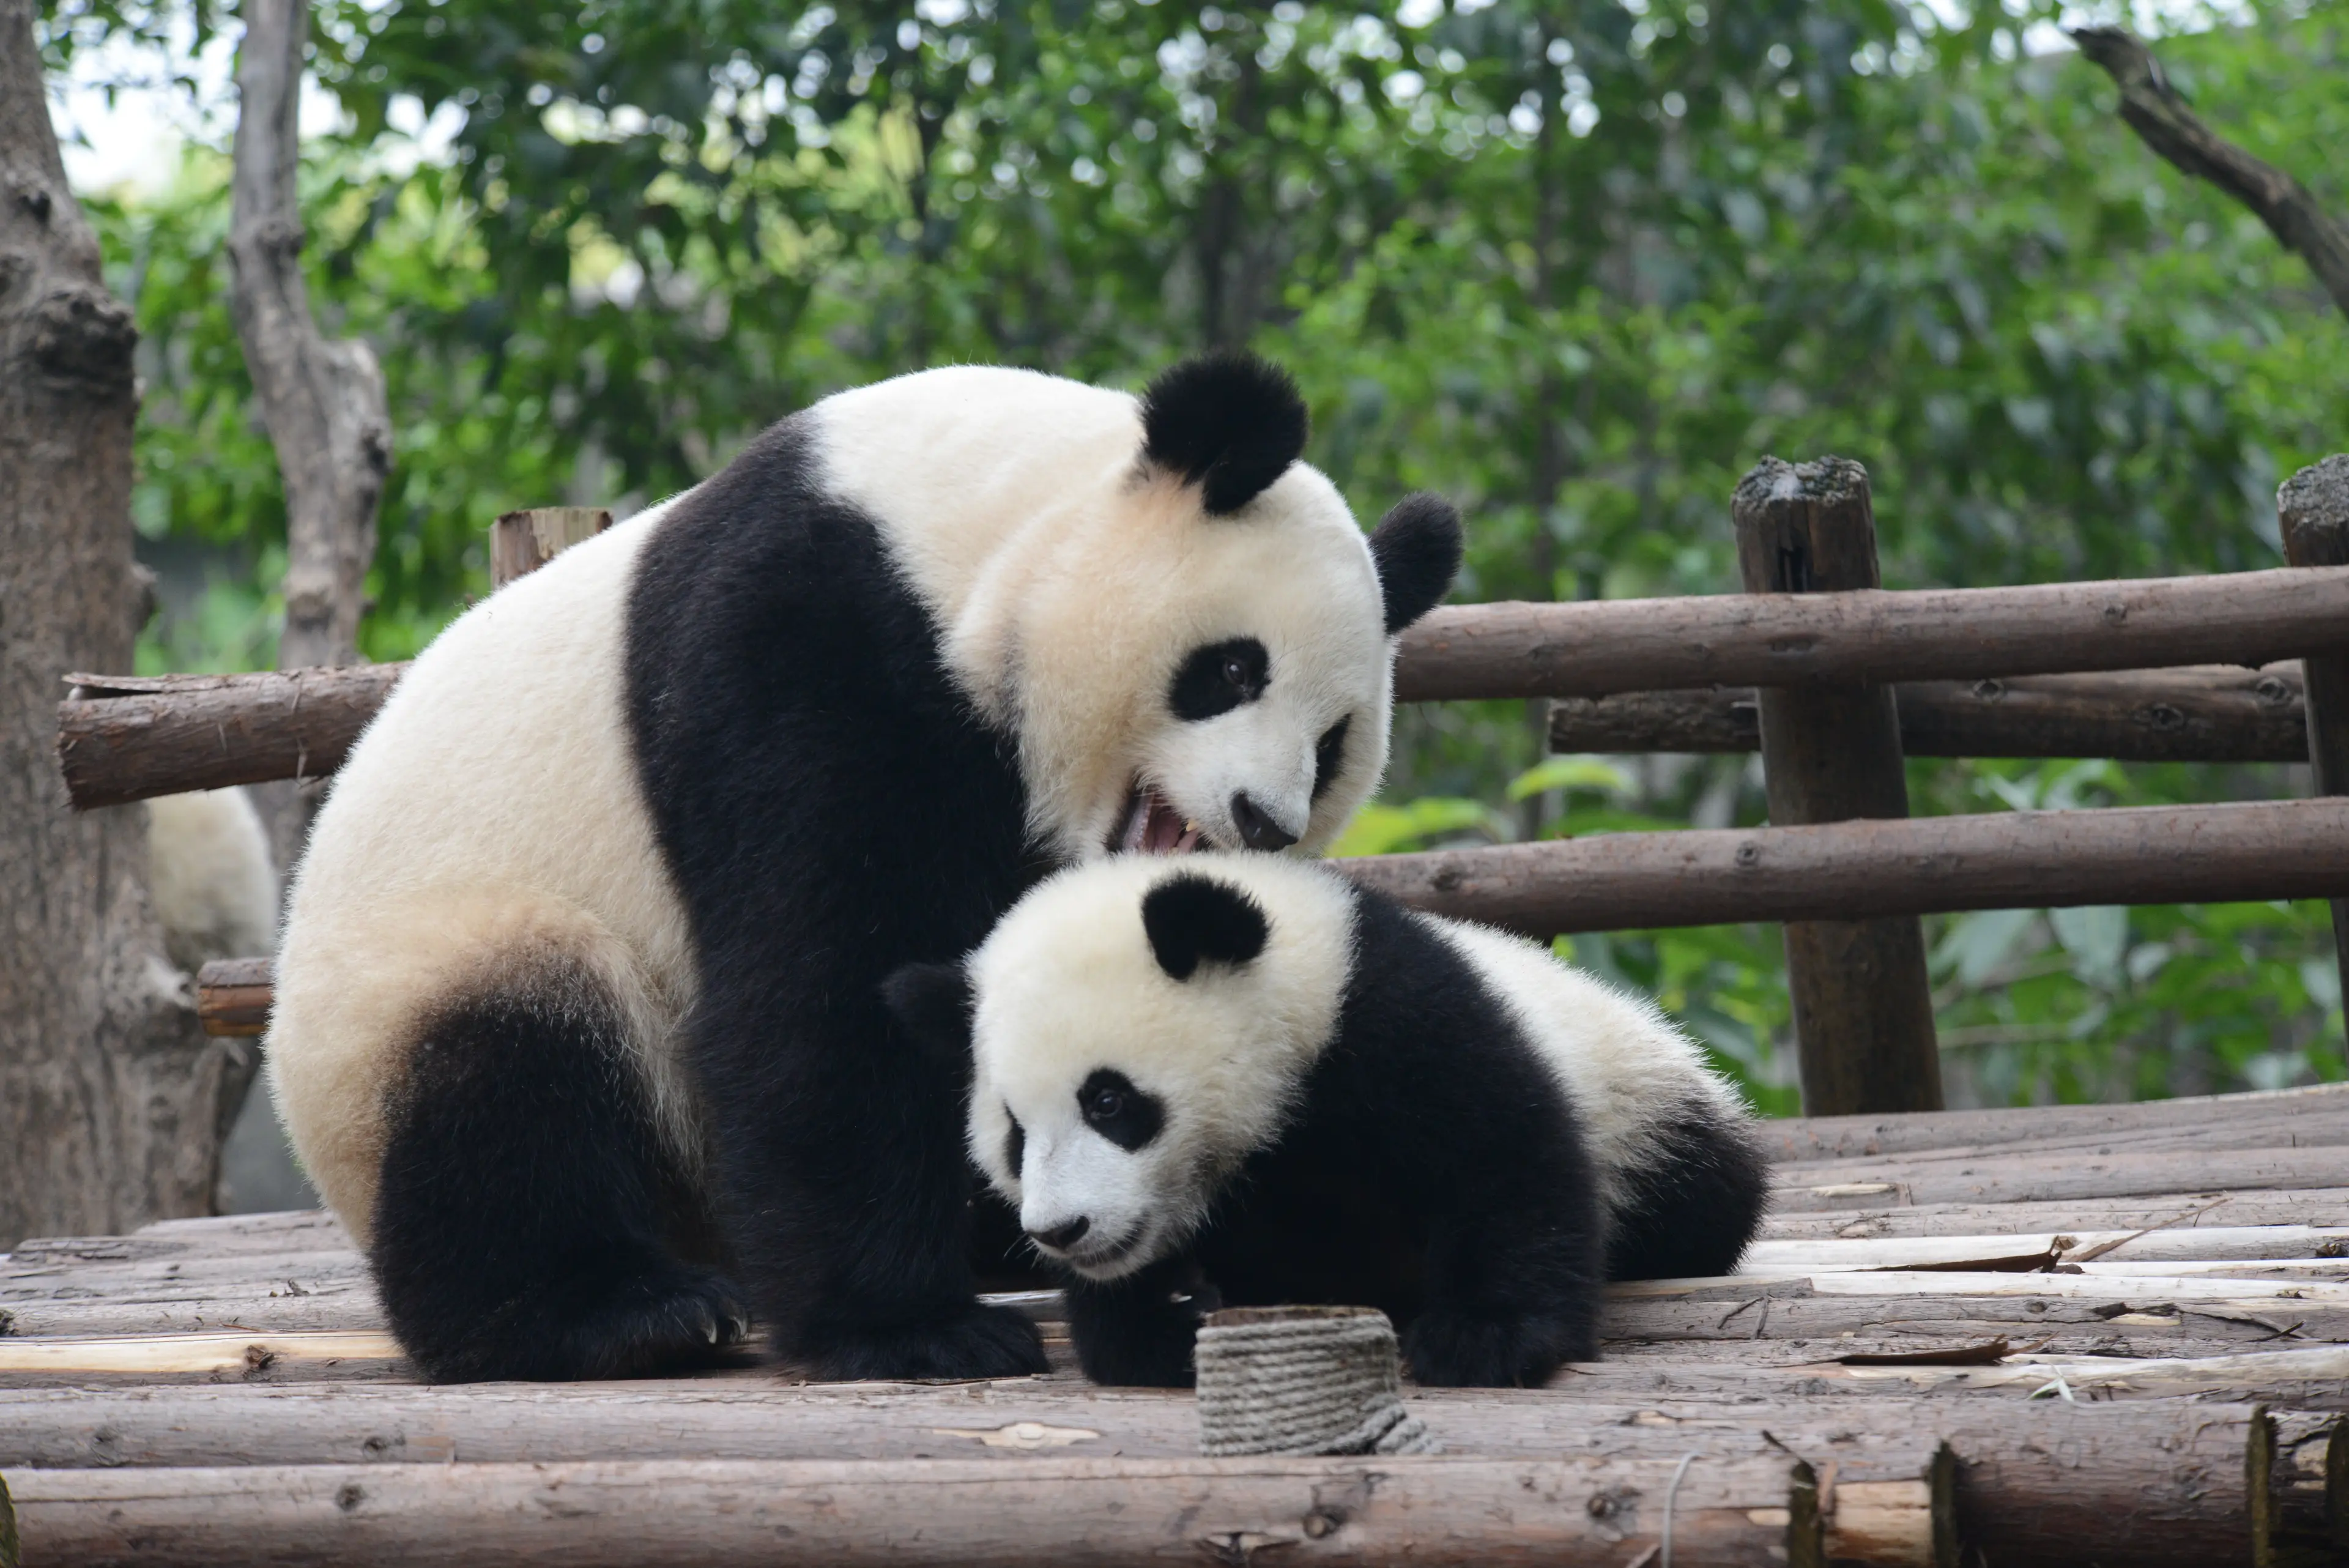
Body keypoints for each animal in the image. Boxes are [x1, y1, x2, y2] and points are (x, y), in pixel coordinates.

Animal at [265, 354, 1464, 1384]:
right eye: (1232, 670)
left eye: (1335, 742)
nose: (1264, 817)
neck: (982, 523)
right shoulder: (804, 637)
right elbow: (829, 983)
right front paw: (910, 1325)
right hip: (420, 976)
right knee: (513, 1056)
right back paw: (615, 1311)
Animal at [882, 853, 1769, 1389]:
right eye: (1014, 1134)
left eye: (1108, 1101)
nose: (1063, 1229)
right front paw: (1169, 1321)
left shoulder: (1390, 1016)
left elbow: (1503, 1158)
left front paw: (1484, 1336)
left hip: (1649, 1106)